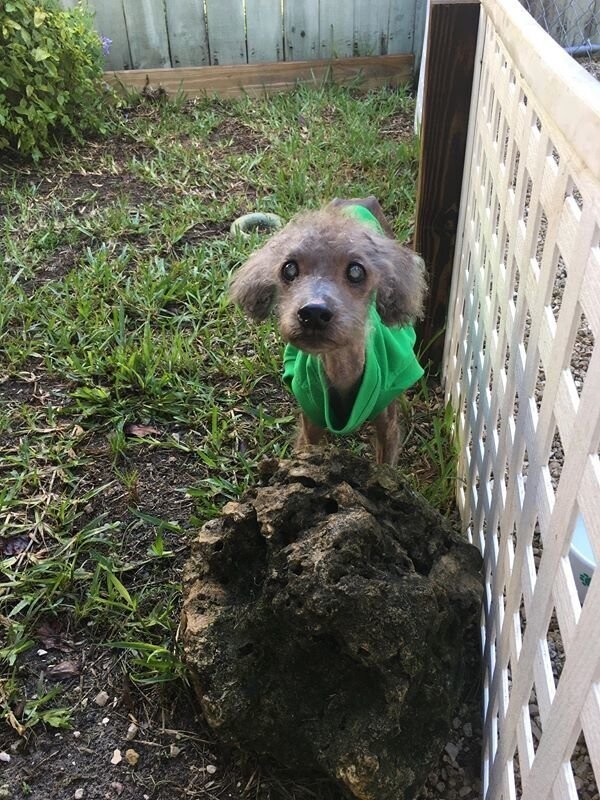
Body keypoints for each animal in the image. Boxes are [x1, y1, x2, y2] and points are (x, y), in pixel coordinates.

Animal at [230, 196, 426, 466]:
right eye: (289, 269)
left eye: (356, 271)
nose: (313, 313)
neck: (341, 371)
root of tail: (356, 200)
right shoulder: (310, 424)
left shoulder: (387, 425)